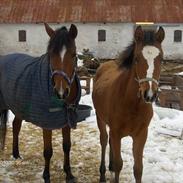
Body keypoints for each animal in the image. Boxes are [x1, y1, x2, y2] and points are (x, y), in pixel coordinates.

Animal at [0, 23, 78, 183]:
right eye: (51, 55)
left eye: (73, 55)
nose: (61, 92)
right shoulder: (46, 124)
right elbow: (48, 151)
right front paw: (46, 176)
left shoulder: (66, 120)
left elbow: (66, 146)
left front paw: (69, 174)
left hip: (19, 107)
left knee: (16, 126)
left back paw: (16, 154)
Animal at [92, 26, 165, 183]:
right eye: (136, 58)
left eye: (161, 59)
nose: (149, 94)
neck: (132, 105)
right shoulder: (116, 133)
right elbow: (119, 164)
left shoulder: (141, 135)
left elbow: (138, 169)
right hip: (100, 118)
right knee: (104, 140)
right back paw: (103, 174)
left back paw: (110, 167)